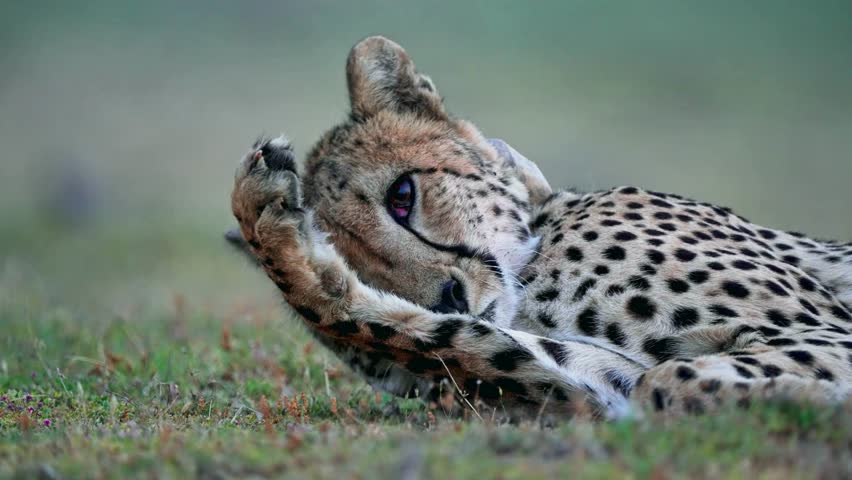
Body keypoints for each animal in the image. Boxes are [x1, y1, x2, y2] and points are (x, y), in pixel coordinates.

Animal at [227, 36, 852, 419]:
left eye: (401, 197)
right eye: (354, 262)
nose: (450, 297)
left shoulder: (823, 331)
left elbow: (671, 381)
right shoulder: (597, 387)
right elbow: (433, 337)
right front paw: (273, 230)